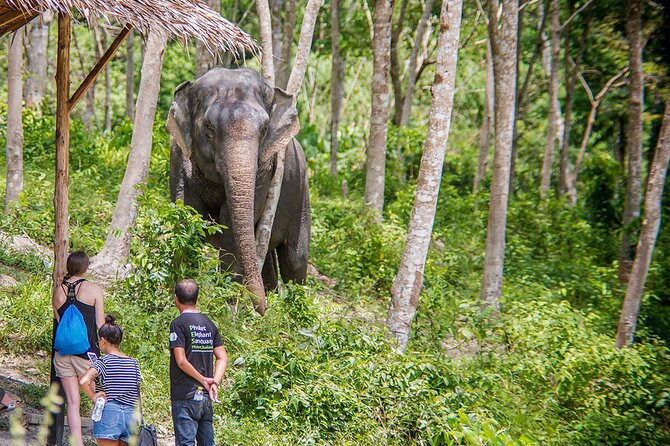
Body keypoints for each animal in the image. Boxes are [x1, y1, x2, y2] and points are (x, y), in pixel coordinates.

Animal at [169, 68, 314, 316]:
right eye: (209, 127)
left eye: (264, 129)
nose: (262, 310)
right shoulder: (178, 155)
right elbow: (187, 216)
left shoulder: (265, 169)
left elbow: (230, 226)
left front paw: (227, 308)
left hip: (301, 194)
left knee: (295, 258)